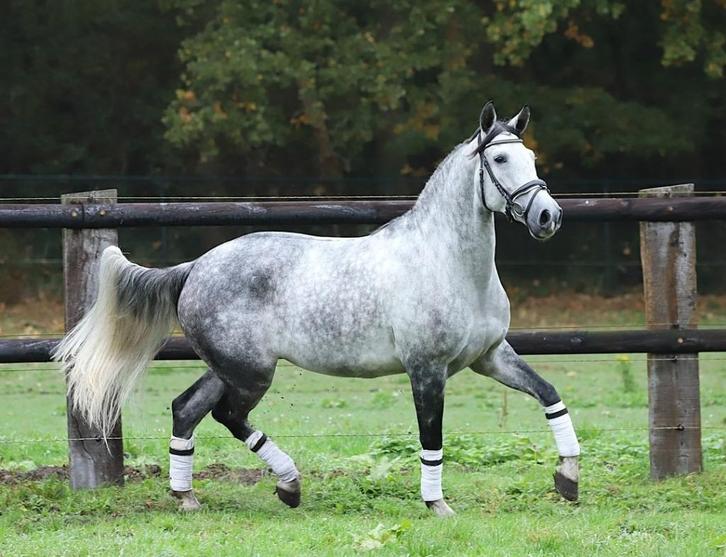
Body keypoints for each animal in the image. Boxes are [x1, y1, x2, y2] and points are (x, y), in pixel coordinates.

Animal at [54, 101, 580, 517]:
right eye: (500, 157)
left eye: (531, 157)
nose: (548, 216)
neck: (448, 263)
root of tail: (196, 267)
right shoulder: (426, 369)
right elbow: (431, 440)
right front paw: (437, 505)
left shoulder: (490, 357)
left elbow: (550, 394)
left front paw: (568, 478)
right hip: (251, 372)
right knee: (227, 416)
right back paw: (288, 485)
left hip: (230, 367)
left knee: (186, 409)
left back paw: (188, 497)